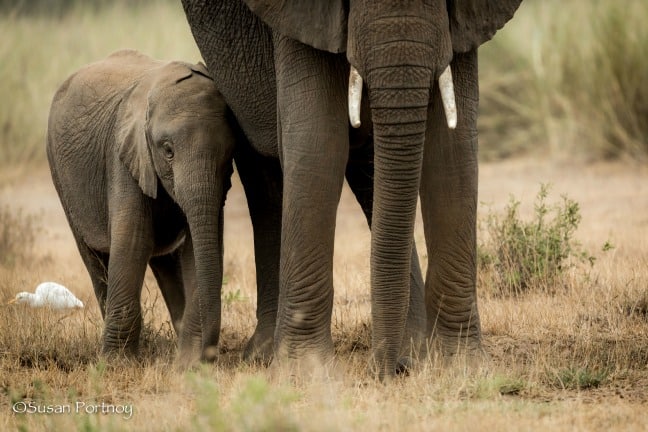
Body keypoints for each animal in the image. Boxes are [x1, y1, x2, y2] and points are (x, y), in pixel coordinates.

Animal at [48, 49, 235, 362]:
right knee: (95, 258)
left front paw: (187, 360)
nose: (207, 358)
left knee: (166, 260)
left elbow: (197, 248)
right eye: (168, 151)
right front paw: (116, 364)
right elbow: (134, 240)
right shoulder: (123, 156)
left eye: (229, 156)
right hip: (59, 173)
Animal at [181, 0, 520, 378]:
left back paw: (412, 350)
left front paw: (463, 368)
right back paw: (267, 354)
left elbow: (452, 151)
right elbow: (317, 142)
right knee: (265, 167)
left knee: (369, 170)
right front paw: (305, 374)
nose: (386, 371)